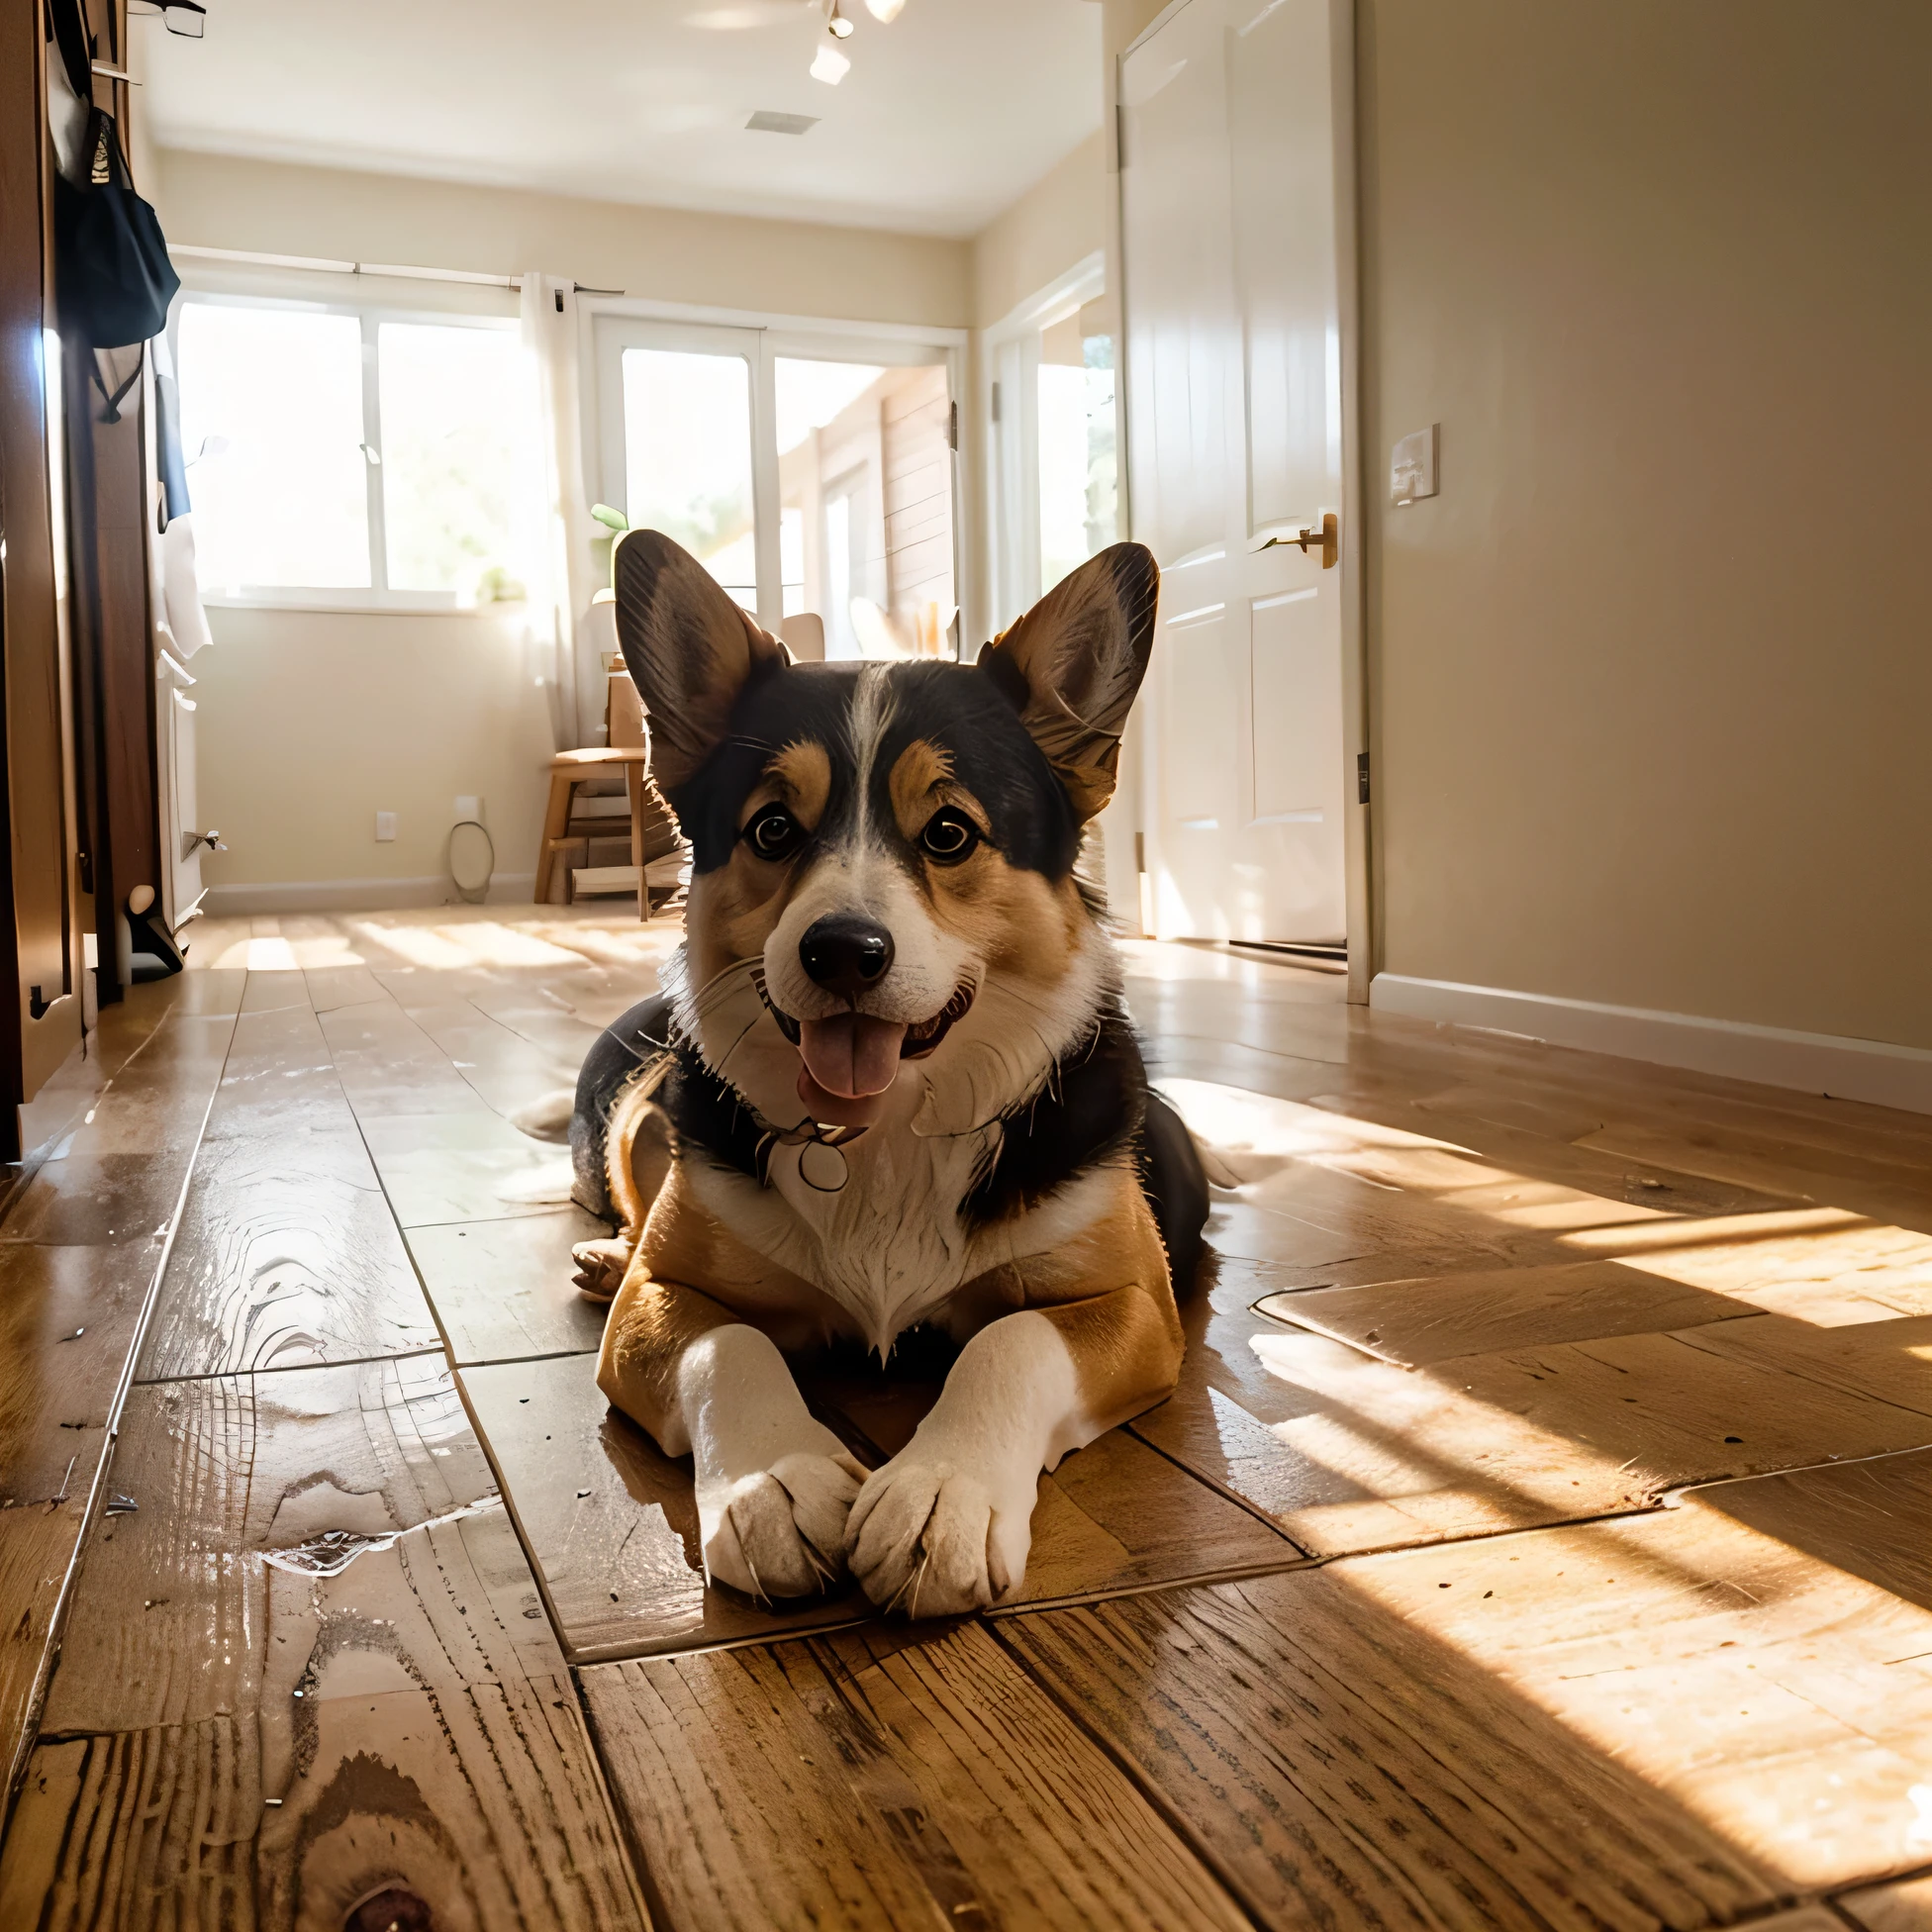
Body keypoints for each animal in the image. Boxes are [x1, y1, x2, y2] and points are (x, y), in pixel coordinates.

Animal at [571, 529, 1206, 1614]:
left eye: (948, 832)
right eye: (772, 829)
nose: (842, 952)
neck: (890, 1127)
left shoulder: (1131, 1303)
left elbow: (1008, 1341)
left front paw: (939, 1496)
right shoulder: (664, 1305)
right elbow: (728, 1343)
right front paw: (776, 1483)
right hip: (641, 1110)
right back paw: (606, 1256)